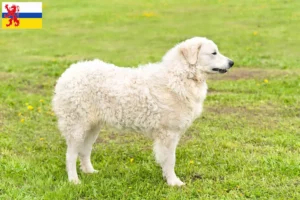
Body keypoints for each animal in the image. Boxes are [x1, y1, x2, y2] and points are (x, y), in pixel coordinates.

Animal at [52, 37, 234, 186]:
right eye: (213, 53)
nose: (232, 62)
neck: (181, 75)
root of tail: (69, 72)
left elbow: (166, 160)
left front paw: (168, 178)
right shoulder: (168, 133)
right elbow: (170, 160)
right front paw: (173, 182)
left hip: (92, 127)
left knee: (84, 151)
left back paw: (90, 172)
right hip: (77, 126)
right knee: (71, 155)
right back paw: (74, 180)